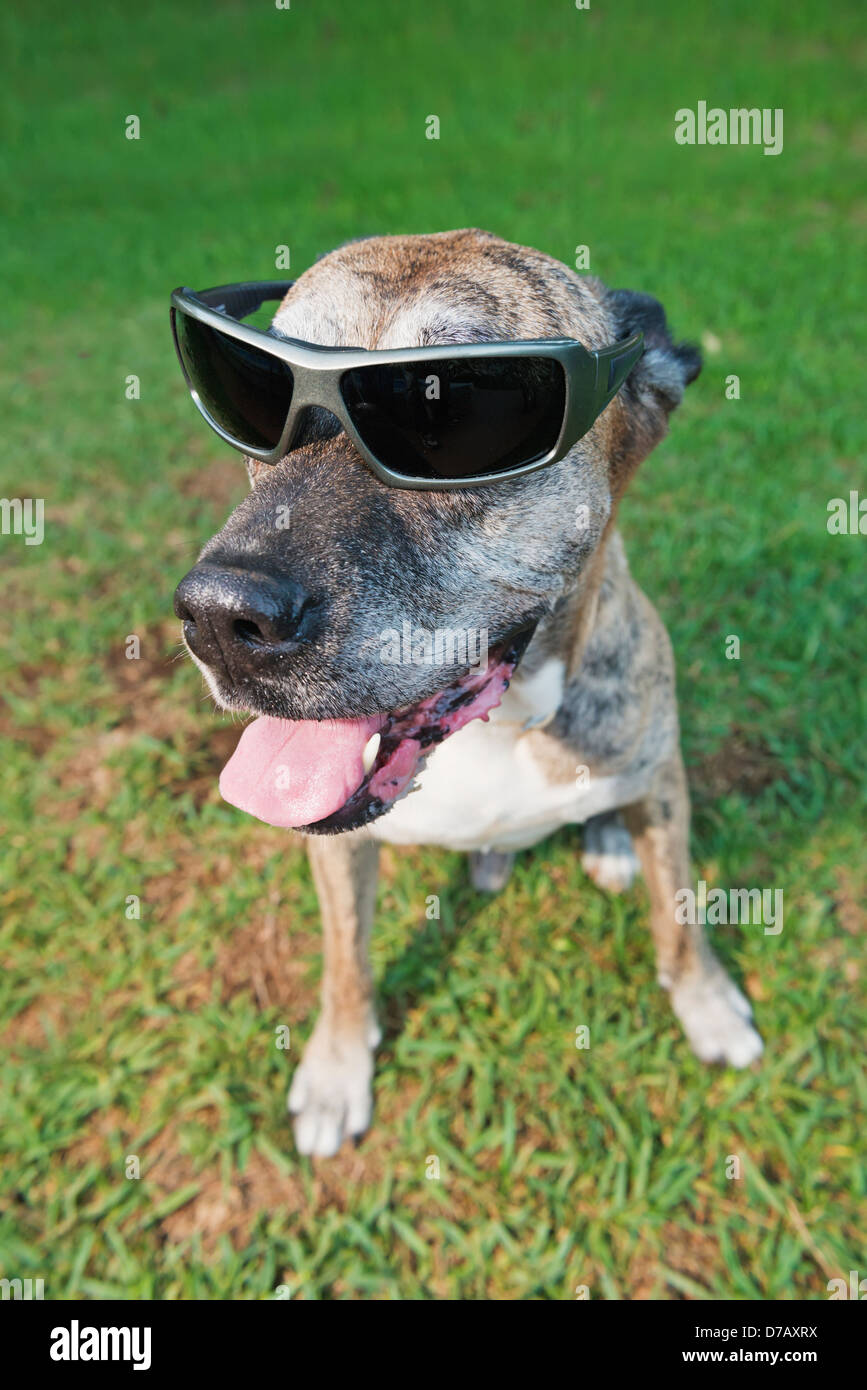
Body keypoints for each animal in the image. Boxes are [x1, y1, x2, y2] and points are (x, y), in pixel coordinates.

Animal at [172, 230, 761, 1162]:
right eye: (253, 386)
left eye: (452, 415)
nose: (219, 617)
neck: (496, 727)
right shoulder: (335, 854)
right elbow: (346, 962)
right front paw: (337, 1067)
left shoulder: (664, 778)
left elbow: (680, 915)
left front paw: (705, 1003)